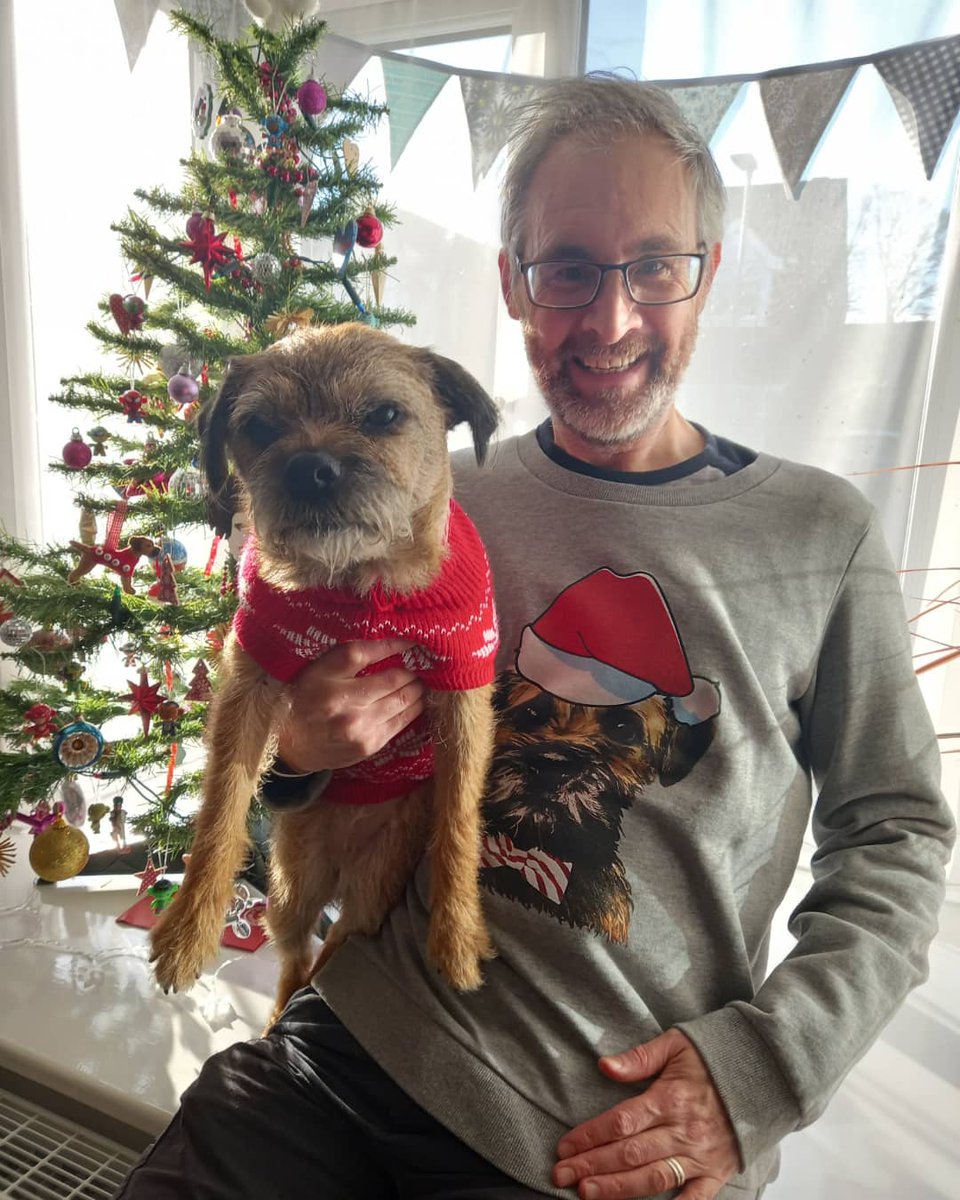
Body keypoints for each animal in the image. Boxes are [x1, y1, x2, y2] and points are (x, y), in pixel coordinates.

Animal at [148, 321, 501, 1022]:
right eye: (259, 426)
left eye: (385, 415)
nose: (310, 468)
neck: (358, 584)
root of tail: (338, 868)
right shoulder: (252, 676)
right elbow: (221, 803)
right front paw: (186, 932)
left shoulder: (463, 693)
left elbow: (458, 820)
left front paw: (455, 936)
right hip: (291, 890)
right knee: (296, 956)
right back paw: (282, 1001)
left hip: (371, 893)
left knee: (338, 943)